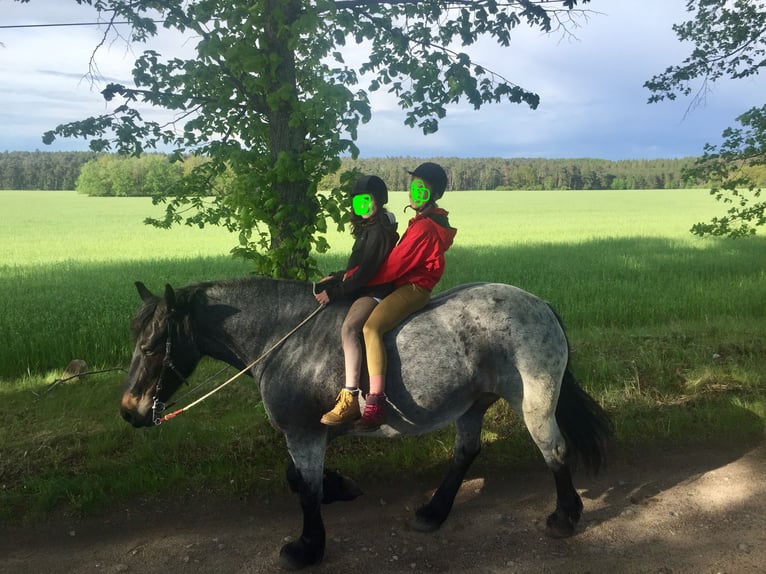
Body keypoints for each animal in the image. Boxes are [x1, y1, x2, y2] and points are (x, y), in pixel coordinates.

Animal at [118, 278, 612, 572]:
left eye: (152, 345)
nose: (129, 410)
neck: (286, 340)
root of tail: (540, 303)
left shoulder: (303, 433)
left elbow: (306, 489)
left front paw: (308, 545)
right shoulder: (308, 433)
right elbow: (297, 478)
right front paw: (340, 488)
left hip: (533, 399)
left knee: (554, 451)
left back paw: (564, 516)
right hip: (472, 403)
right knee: (466, 452)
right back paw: (433, 512)